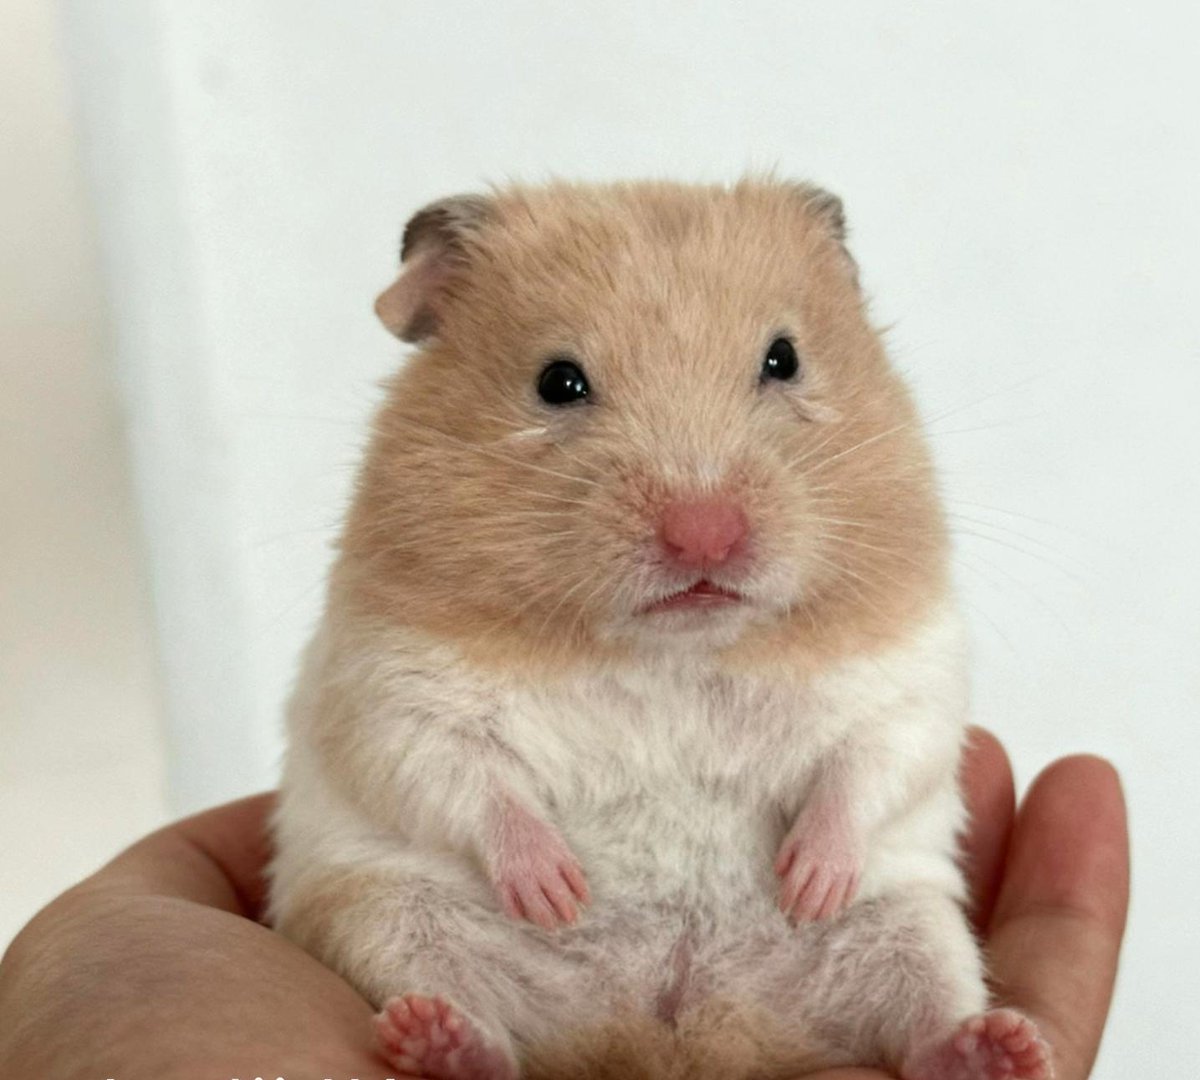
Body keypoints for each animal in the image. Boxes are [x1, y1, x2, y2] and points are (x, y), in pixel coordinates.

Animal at [268, 180, 1052, 1080]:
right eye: (558, 382)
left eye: (784, 359)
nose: (704, 535)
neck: (673, 651)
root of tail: (675, 1029)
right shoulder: (389, 687)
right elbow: (469, 780)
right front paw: (558, 890)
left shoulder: (908, 673)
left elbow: (866, 766)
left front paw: (807, 880)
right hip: (392, 916)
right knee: (482, 1029)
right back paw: (439, 1037)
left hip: (910, 928)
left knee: (925, 1025)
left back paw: (1003, 1046)